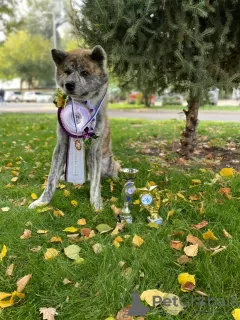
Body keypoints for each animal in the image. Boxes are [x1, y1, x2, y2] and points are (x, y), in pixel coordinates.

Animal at [29, 45, 119, 210]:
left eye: (84, 72)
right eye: (67, 71)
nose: (69, 85)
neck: (80, 105)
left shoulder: (94, 149)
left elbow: (95, 185)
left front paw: (96, 205)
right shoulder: (61, 145)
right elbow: (51, 179)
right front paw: (42, 202)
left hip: (107, 162)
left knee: (113, 168)